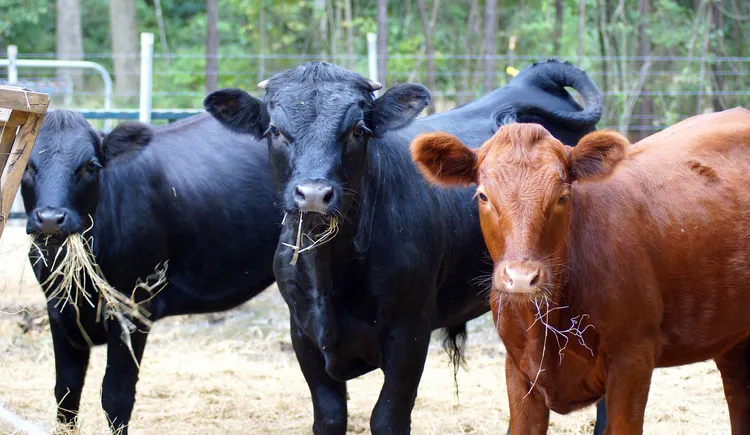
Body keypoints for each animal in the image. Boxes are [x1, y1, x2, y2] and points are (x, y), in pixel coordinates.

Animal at [21, 111, 281, 434]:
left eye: (90, 166)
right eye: (27, 165)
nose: (50, 219)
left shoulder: (133, 308)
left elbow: (116, 397)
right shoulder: (59, 311)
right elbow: (66, 393)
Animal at [204, 60, 606, 434]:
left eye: (358, 130)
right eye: (274, 130)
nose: (314, 194)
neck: (331, 271)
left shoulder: (410, 333)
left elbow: (387, 418)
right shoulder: (302, 333)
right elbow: (330, 417)